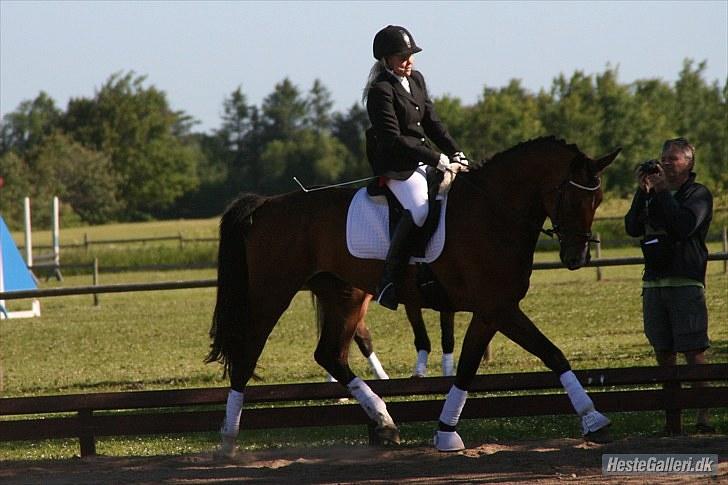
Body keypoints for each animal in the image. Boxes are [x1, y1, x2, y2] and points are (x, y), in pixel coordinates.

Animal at [206, 135, 620, 454]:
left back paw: (384, 422)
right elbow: (551, 352)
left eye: (598, 201)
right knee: (247, 356)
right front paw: (595, 419)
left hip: (344, 296)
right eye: (572, 200)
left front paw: (446, 433)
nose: (576, 258)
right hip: (271, 294)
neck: (494, 210)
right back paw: (228, 440)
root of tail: (267, 205)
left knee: (330, 354)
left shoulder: (490, 311)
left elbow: (468, 368)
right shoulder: (499, 308)